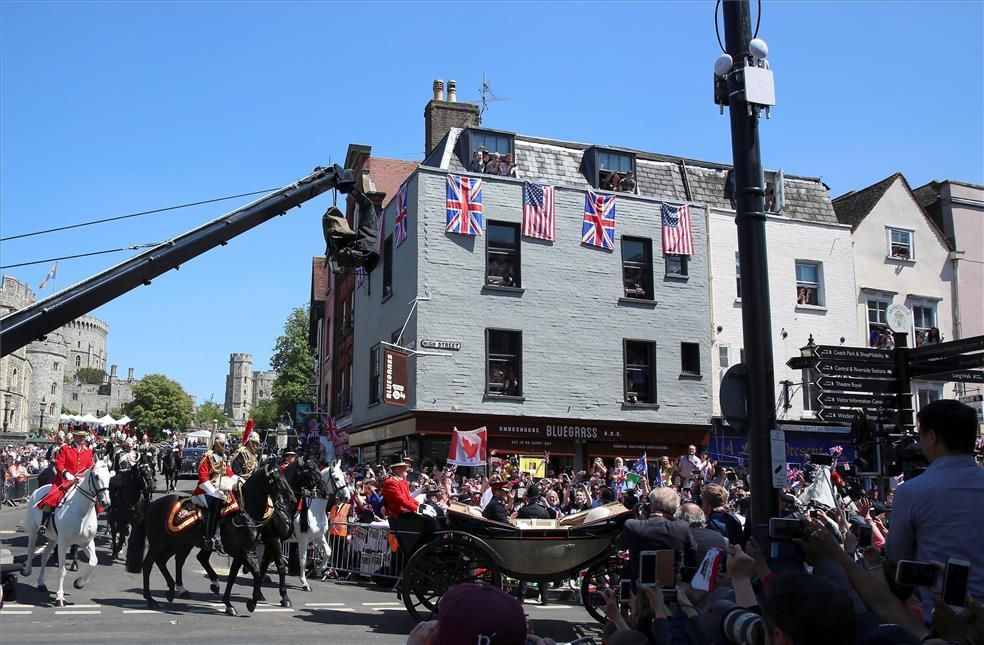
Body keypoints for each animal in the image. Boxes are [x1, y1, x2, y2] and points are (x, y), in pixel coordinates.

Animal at [20, 460, 112, 608]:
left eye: (109, 476)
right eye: (96, 476)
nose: (106, 502)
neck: (81, 512)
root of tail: (38, 490)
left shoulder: (87, 542)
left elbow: (93, 562)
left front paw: (79, 583)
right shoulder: (63, 543)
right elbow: (62, 571)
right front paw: (60, 597)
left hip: (53, 538)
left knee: (44, 557)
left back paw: (41, 583)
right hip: (34, 531)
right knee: (30, 550)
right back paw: (27, 570)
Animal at [125, 462, 292, 612]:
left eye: (285, 475)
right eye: (276, 478)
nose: (292, 498)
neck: (245, 511)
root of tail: (151, 505)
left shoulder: (242, 551)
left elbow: (233, 576)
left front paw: (229, 604)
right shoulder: (242, 550)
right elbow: (257, 572)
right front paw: (252, 602)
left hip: (178, 543)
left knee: (164, 561)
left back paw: (174, 590)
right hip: (159, 543)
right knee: (148, 564)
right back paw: (151, 599)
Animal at [292, 460, 350, 592]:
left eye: (344, 477)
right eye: (336, 478)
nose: (347, 497)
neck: (314, 510)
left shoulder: (319, 537)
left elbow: (328, 551)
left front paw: (318, 568)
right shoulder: (303, 540)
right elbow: (303, 560)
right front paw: (305, 583)